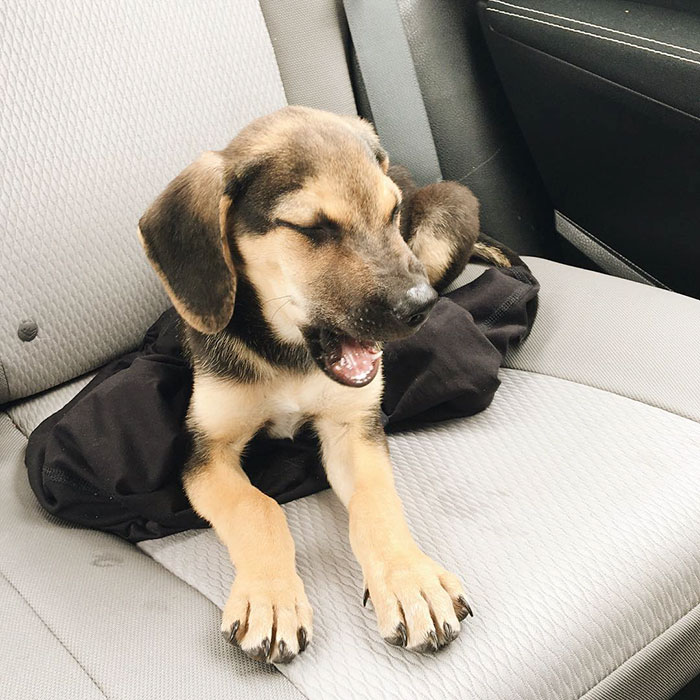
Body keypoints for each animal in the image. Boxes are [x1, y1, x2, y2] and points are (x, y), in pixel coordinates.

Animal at [138, 106, 476, 664]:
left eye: (391, 212)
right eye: (310, 227)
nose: (419, 307)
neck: (289, 357)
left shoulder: (353, 427)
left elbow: (377, 503)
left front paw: (412, 581)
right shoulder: (206, 451)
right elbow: (259, 508)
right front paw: (271, 599)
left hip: (453, 204)